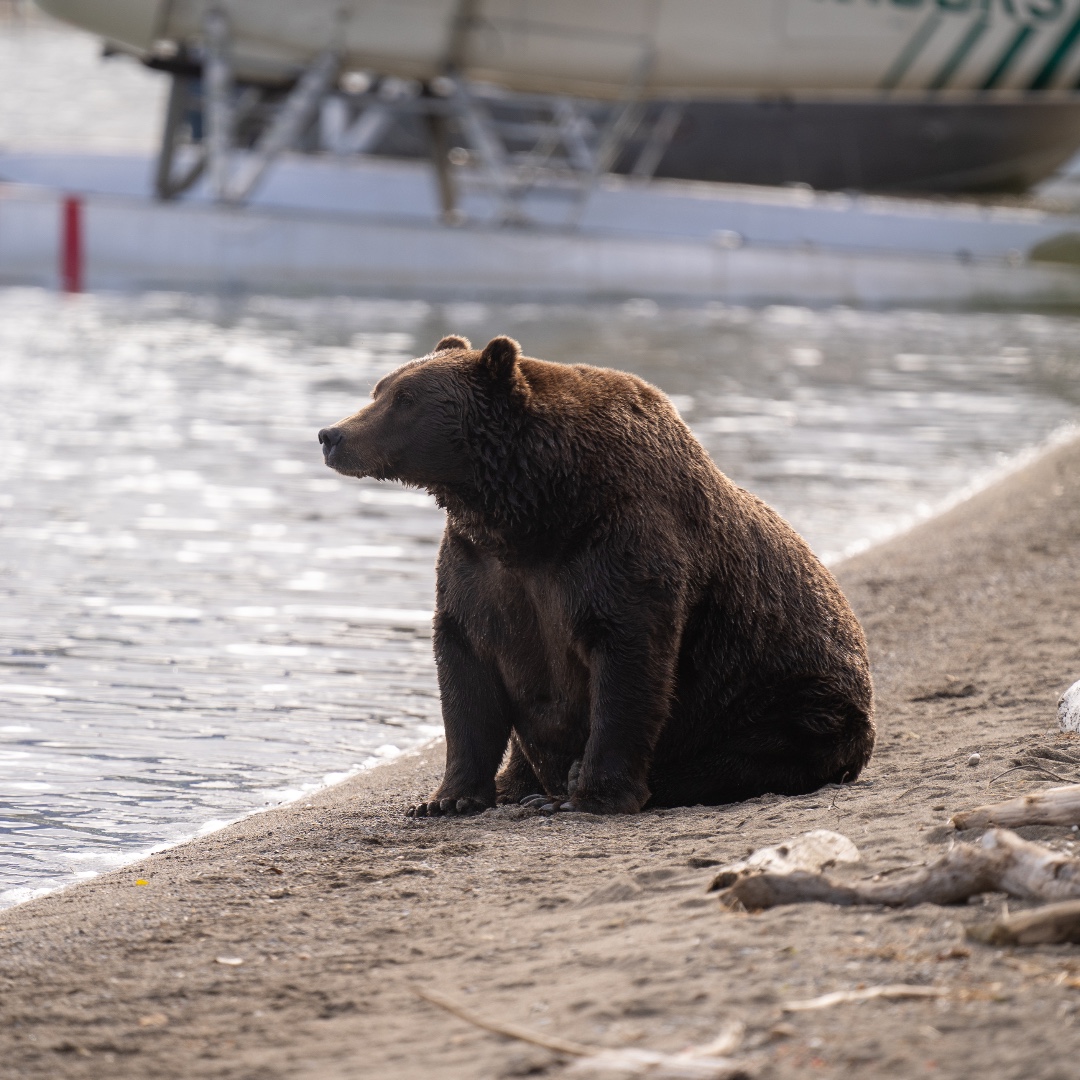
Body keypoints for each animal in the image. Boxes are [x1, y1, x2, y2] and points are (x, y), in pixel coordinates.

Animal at [318, 335, 874, 816]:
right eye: (380, 389)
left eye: (406, 398)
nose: (332, 435)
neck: (531, 509)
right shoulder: (478, 566)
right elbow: (466, 668)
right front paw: (447, 798)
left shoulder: (619, 545)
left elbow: (627, 663)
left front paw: (593, 793)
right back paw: (520, 784)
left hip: (788, 696)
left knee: (750, 750)